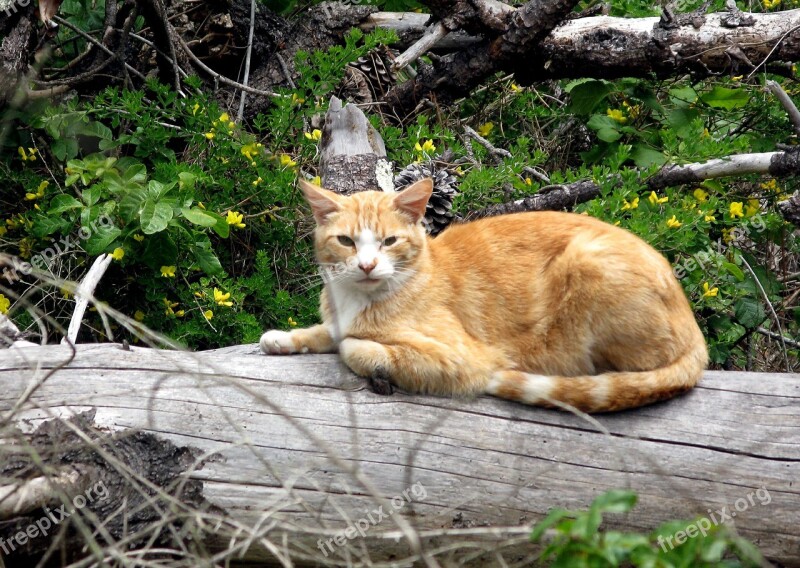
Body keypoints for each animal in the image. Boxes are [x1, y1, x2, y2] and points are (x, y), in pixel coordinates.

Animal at [262, 179, 708, 412]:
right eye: (345, 241)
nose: (368, 266)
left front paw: (363, 351)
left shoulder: (461, 359)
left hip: (588, 262)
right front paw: (284, 339)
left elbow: (353, 346)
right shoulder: (337, 319)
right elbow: (326, 332)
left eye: (389, 242)